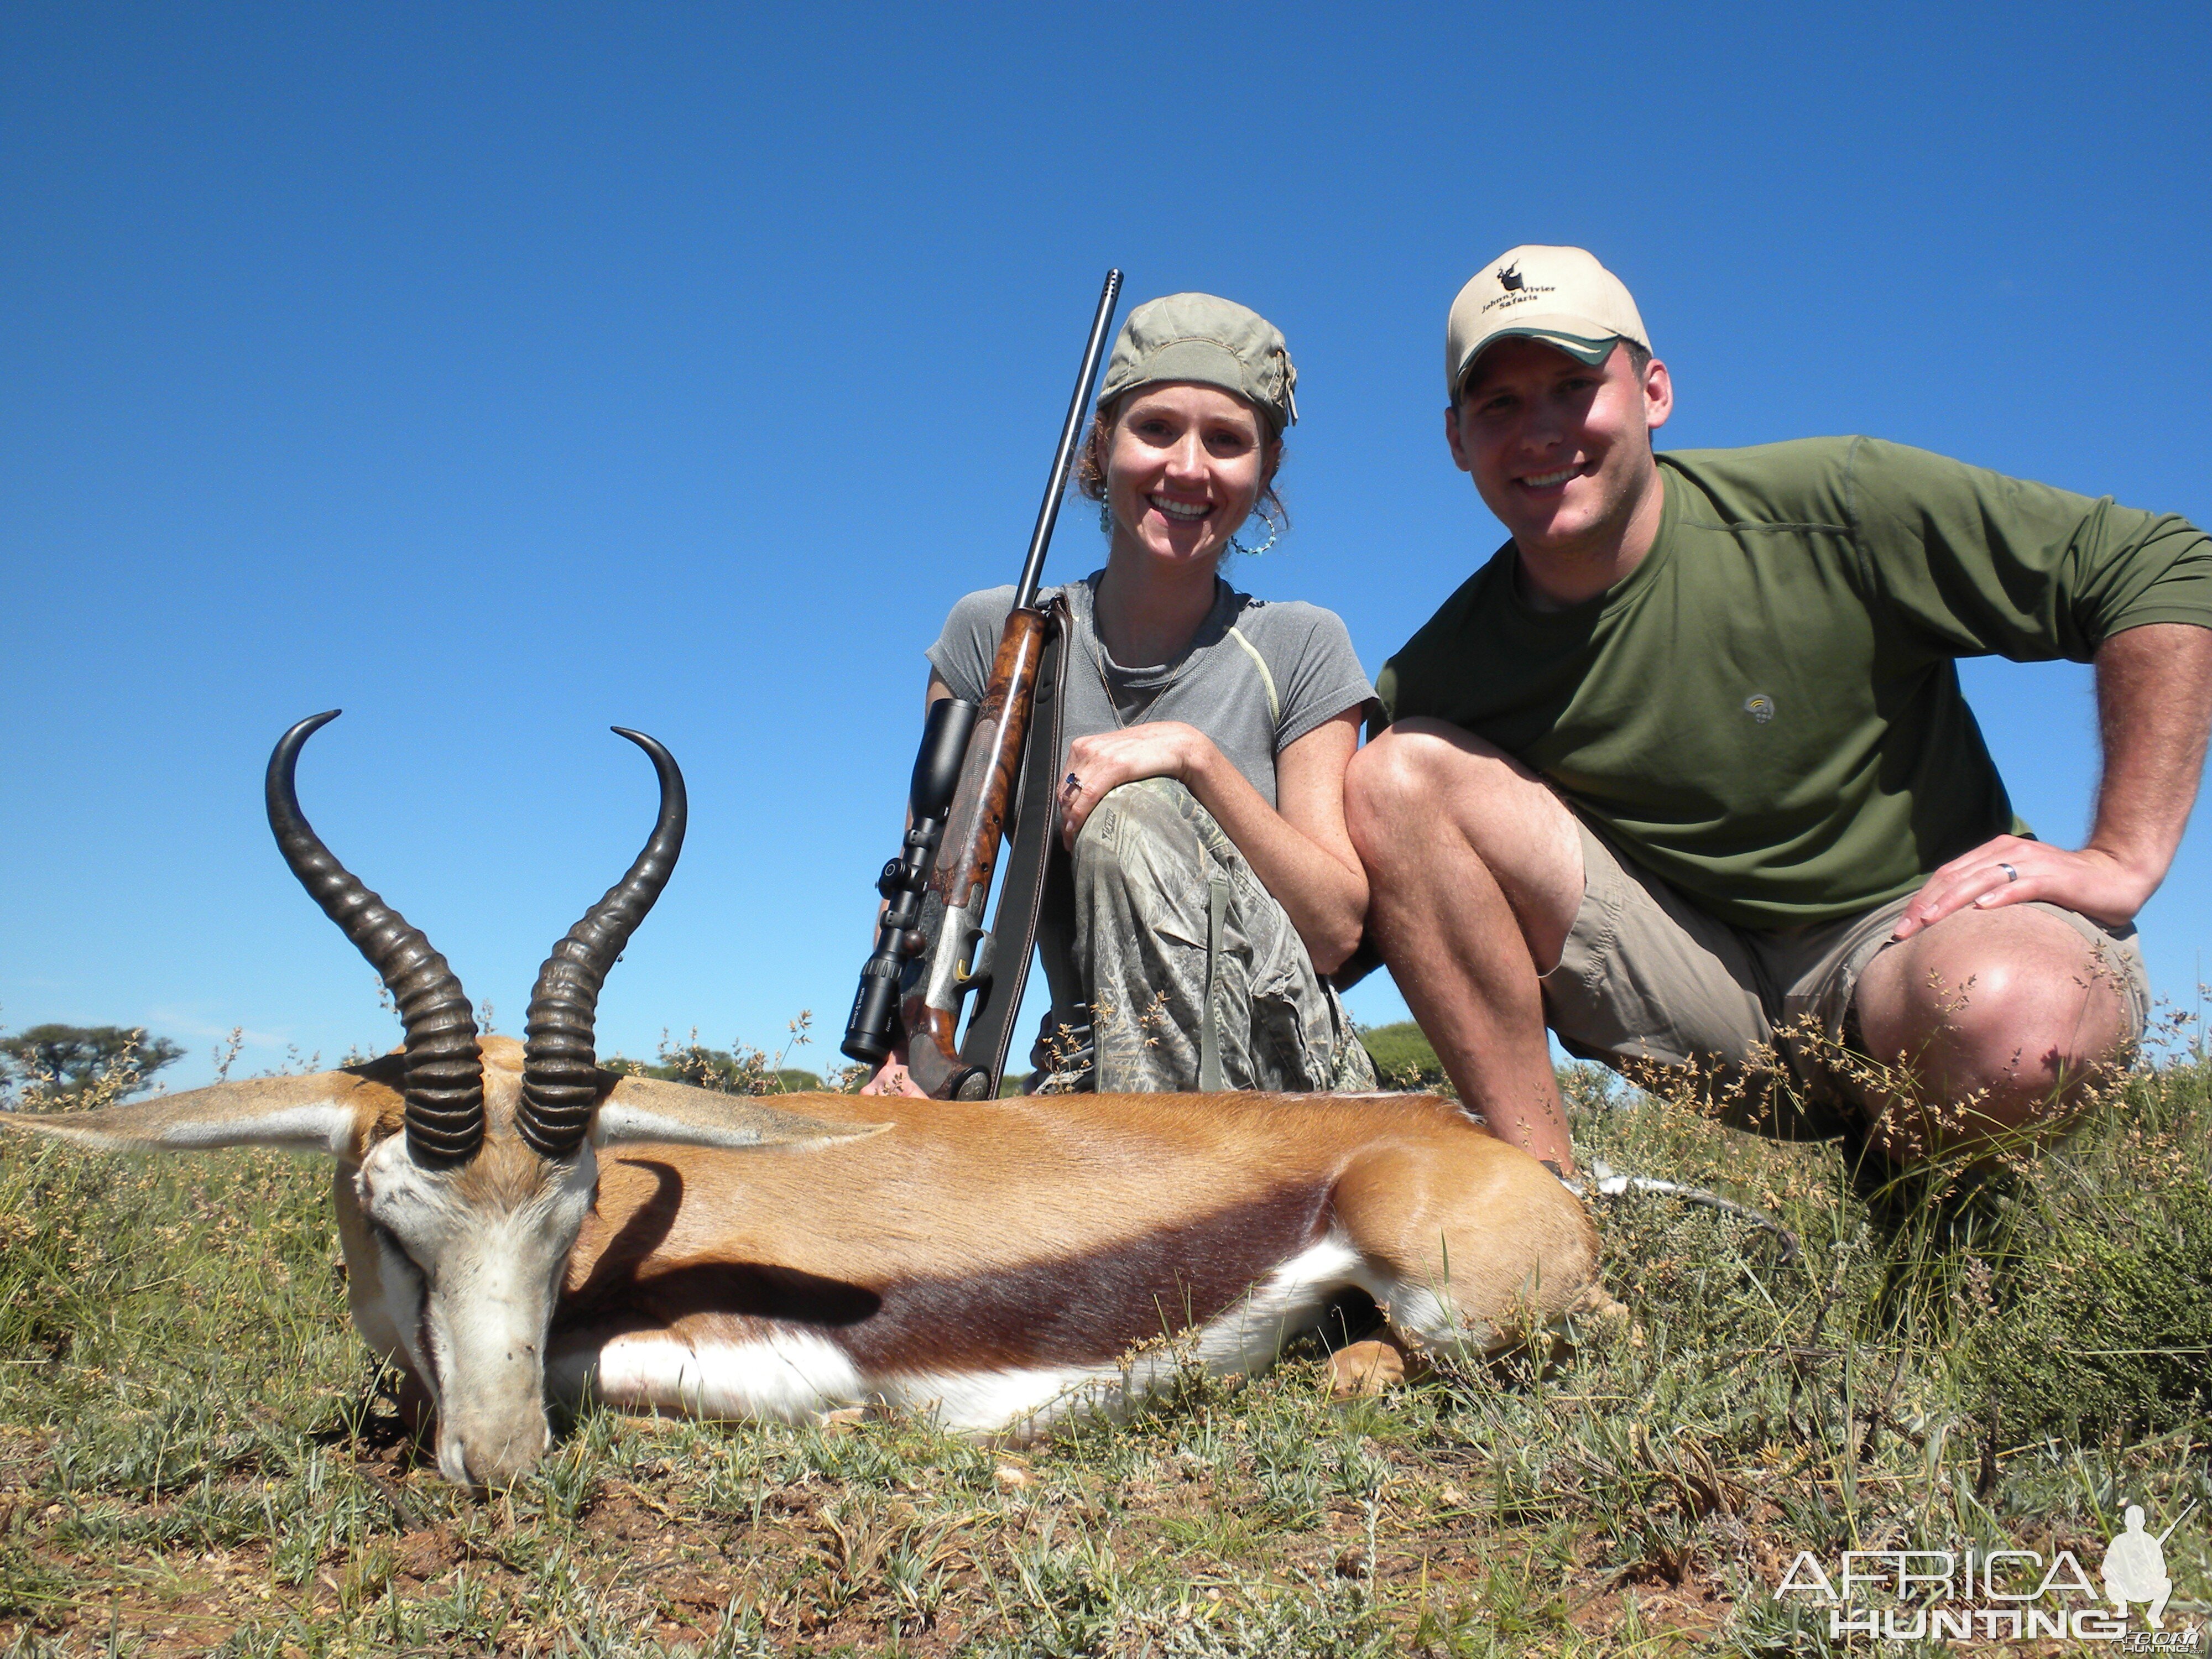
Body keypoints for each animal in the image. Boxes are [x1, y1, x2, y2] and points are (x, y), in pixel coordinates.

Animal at [0, 717, 1593, 1495]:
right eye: (392, 1218)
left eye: (573, 1208)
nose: (502, 1467)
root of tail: (1442, 1131)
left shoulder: (772, 1366)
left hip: (1464, 1296)